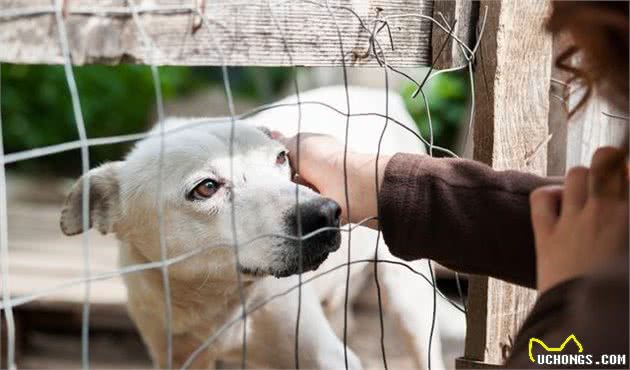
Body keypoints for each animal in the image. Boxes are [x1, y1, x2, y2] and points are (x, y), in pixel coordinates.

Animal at [59, 85, 444, 368]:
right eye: (206, 187)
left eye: (281, 157)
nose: (325, 213)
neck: (212, 301)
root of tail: (377, 91)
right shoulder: (176, 357)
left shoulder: (328, 358)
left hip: (408, 300)